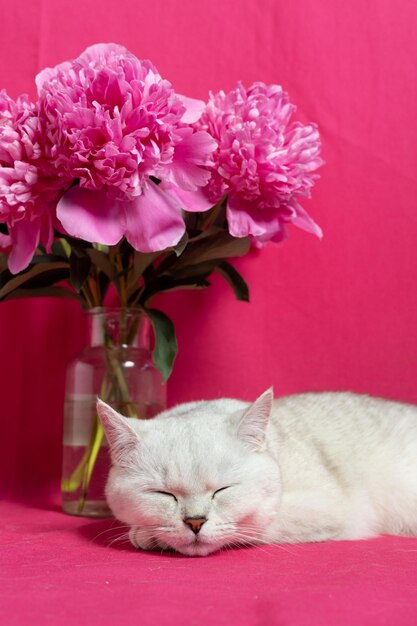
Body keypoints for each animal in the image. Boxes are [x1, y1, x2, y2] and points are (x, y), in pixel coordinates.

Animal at [96, 388, 416, 552]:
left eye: (222, 490)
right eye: (164, 494)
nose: (195, 522)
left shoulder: (330, 506)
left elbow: (255, 525)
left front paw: (147, 535)